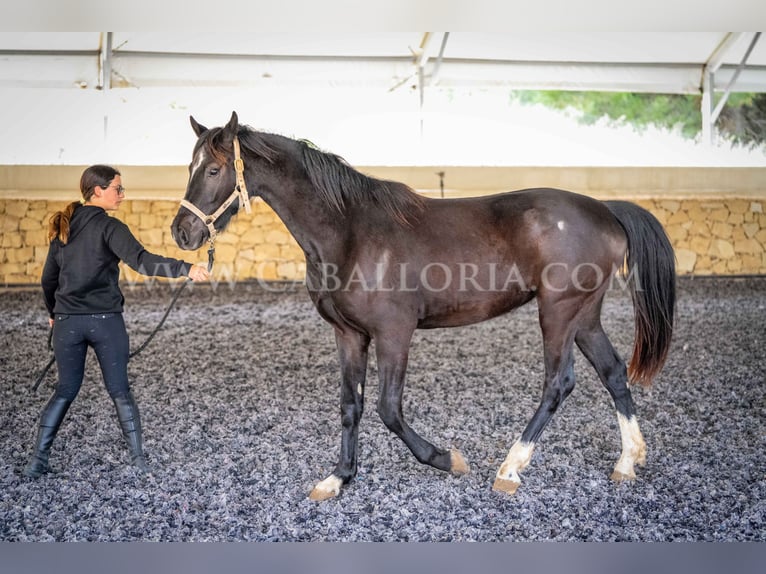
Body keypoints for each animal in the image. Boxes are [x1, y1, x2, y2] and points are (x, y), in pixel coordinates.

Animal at [171, 111, 676, 500]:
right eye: (190, 167)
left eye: (213, 171)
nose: (182, 232)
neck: (350, 232)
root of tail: (606, 210)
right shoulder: (348, 334)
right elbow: (350, 405)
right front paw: (339, 478)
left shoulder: (394, 333)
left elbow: (388, 409)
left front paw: (446, 459)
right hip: (584, 316)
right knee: (613, 372)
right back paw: (627, 461)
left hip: (558, 313)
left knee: (559, 383)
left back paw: (510, 468)